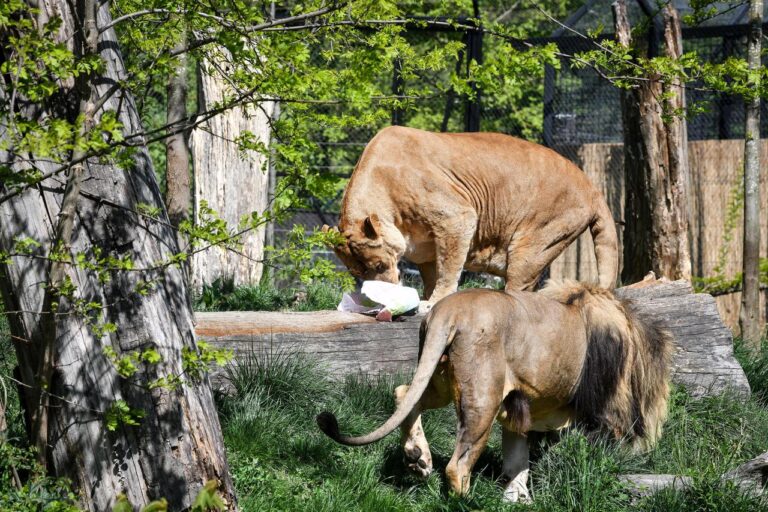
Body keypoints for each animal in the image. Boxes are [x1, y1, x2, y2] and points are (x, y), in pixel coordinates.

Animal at [318, 280, 672, 500]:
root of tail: (450, 309)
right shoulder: (608, 413)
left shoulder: (518, 412)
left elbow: (517, 464)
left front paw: (517, 499)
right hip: (483, 398)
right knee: (457, 466)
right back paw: (466, 500)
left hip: (440, 377)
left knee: (405, 394)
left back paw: (418, 457)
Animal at [328, 127, 620, 304]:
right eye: (358, 273)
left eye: (379, 266)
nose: (382, 297)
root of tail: (592, 188)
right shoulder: (426, 250)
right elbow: (434, 272)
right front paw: (427, 298)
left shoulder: (456, 217)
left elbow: (449, 269)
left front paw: (433, 303)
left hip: (534, 243)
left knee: (521, 290)